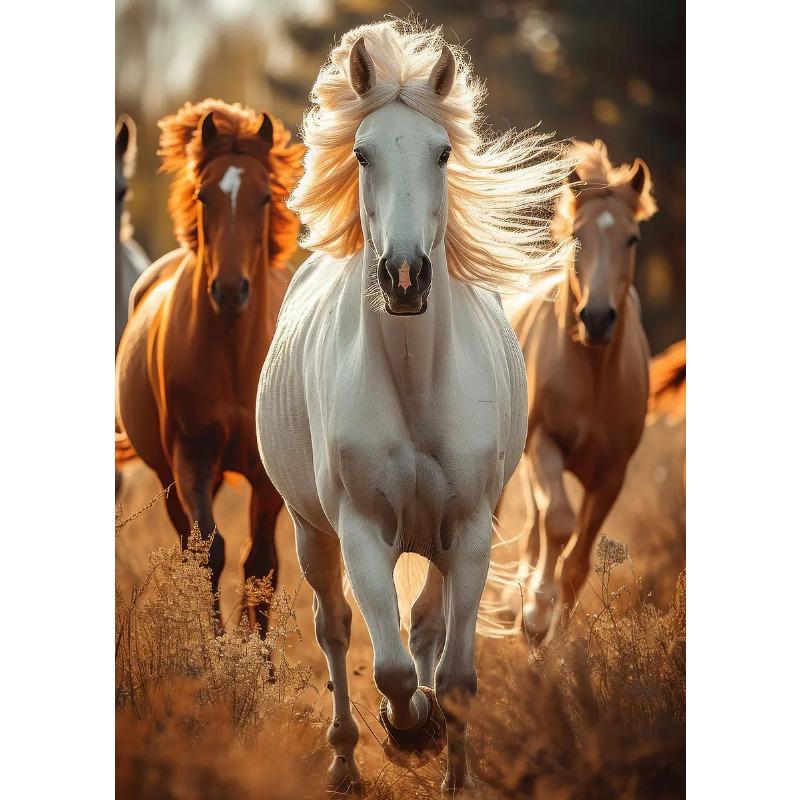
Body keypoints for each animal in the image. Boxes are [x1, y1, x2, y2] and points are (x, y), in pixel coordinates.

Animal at [116, 99, 303, 632]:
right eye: (204, 195)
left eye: (265, 197)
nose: (230, 290)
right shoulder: (191, 457)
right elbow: (210, 554)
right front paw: (216, 645)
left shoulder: (265, 475)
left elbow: (261, 564)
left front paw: (255, 652)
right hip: (168, 475)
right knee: (189, 545)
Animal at [255, 21, 573, 796]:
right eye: (363, 153)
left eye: (443, 152)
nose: (404, 276)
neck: (414, 385)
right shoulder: (363, 531)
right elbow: (393, 667)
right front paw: (407, 730)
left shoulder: (471, 528)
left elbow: (452, 674)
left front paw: (449, 760)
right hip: (311, 533)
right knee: (336, 629)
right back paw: (344, 759)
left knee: (427, 623)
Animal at [497, 139, 657, 644]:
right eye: (578, 236)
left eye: (632, 239)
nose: (598, 318)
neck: (592, 374)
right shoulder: (543, 444)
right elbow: (560, 524)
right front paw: (534, 613)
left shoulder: (612, 475)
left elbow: (579, 561)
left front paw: (558, 643)